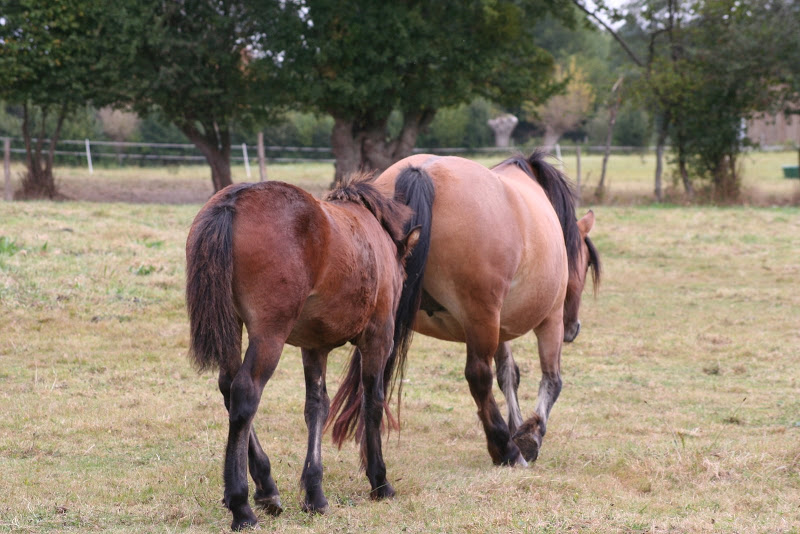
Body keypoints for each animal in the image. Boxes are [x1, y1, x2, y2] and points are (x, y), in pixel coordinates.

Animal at [185, 177, 428, 532]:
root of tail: (233, 201)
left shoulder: (314, 346)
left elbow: (316, 406)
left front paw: (315, 493)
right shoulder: (378, 337)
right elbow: (372, 402)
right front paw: (380, 481)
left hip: (232, 326)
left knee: (228, 388)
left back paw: (266, 488)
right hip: (269, 334)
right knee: (245, 394)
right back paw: (242, 505)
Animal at [330, 150, 600, 468]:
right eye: (585, 262)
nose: (573, 329)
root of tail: (421, 172)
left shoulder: (501, 326)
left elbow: (509, 374)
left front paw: (518, 427)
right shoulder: (550, 319)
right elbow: (552, 380)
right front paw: (529, 437)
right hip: (482, 319)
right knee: (479, 376)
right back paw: (505, 449)